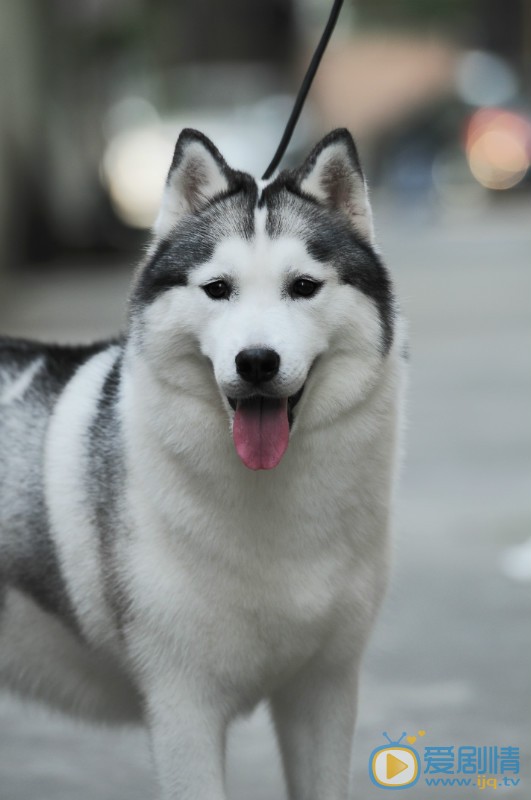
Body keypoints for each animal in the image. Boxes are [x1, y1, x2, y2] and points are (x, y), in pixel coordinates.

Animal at [0, 131, 406, 800]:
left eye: (303, 286)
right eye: (218, 288)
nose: (257, 362)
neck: (272, 502)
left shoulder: (323, 690)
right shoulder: (182, 707)